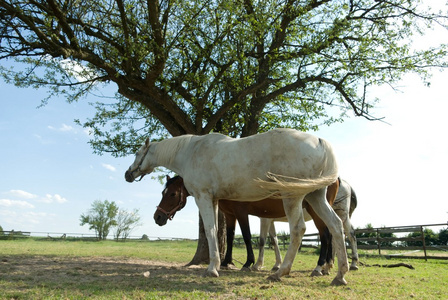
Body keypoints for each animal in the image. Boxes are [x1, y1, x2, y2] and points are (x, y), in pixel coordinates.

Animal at [154, 175, 340, 276]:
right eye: (163, 192)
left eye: (172, 194)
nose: (158, 217)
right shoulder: (230, 215)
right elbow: (230, 237)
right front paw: (226, 262)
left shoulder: (241, 212)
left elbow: (247, 236)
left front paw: (248, 263)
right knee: (330, 233)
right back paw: (326, 267)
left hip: (315, 210)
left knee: (325, 235)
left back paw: (319, 267)